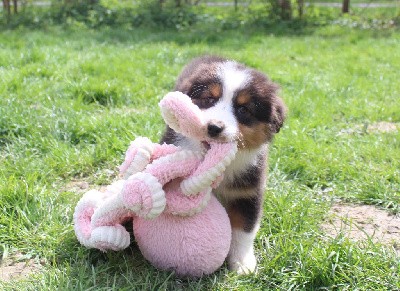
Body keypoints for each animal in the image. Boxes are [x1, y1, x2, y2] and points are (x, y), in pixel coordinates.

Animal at [161, 56, 286, 274]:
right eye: (209, 99)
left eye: (243, 109)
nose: (214, 127)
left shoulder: (249, 191)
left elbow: (244, 230)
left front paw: (243, 263)